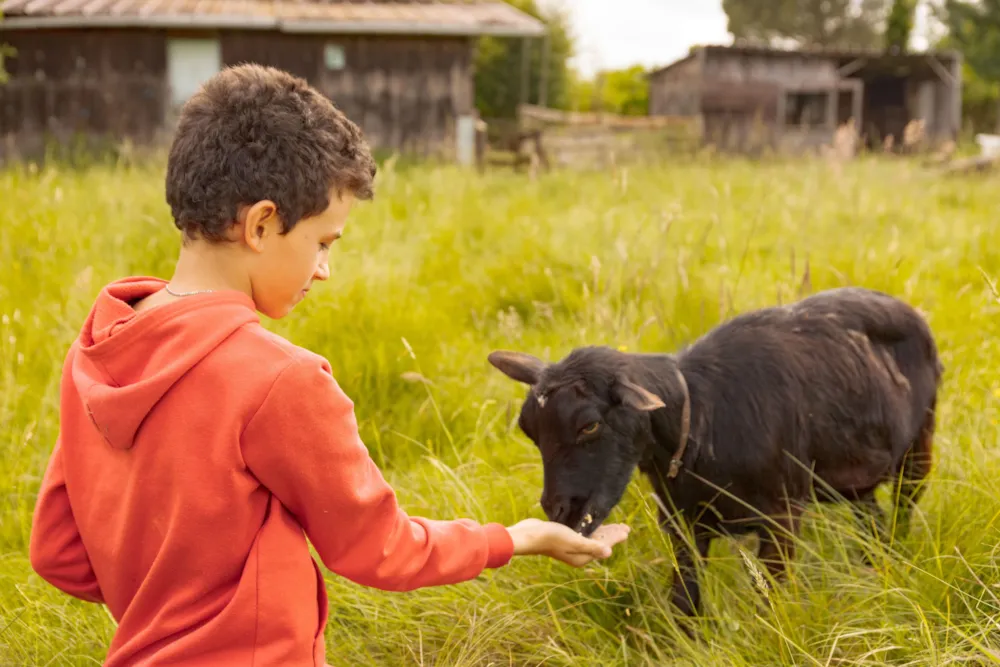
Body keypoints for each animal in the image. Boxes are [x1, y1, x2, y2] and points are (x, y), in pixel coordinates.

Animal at [488, 286, 940, 616]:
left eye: (589, 424)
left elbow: (768, 598)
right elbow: (684, 601)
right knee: (872, 517)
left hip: (919, 446)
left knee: (903, 506)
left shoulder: (782, 516)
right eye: (530, 430)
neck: (700, 423)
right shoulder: (682, 524)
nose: (558, 509)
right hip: (848, 475)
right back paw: (871, 565)